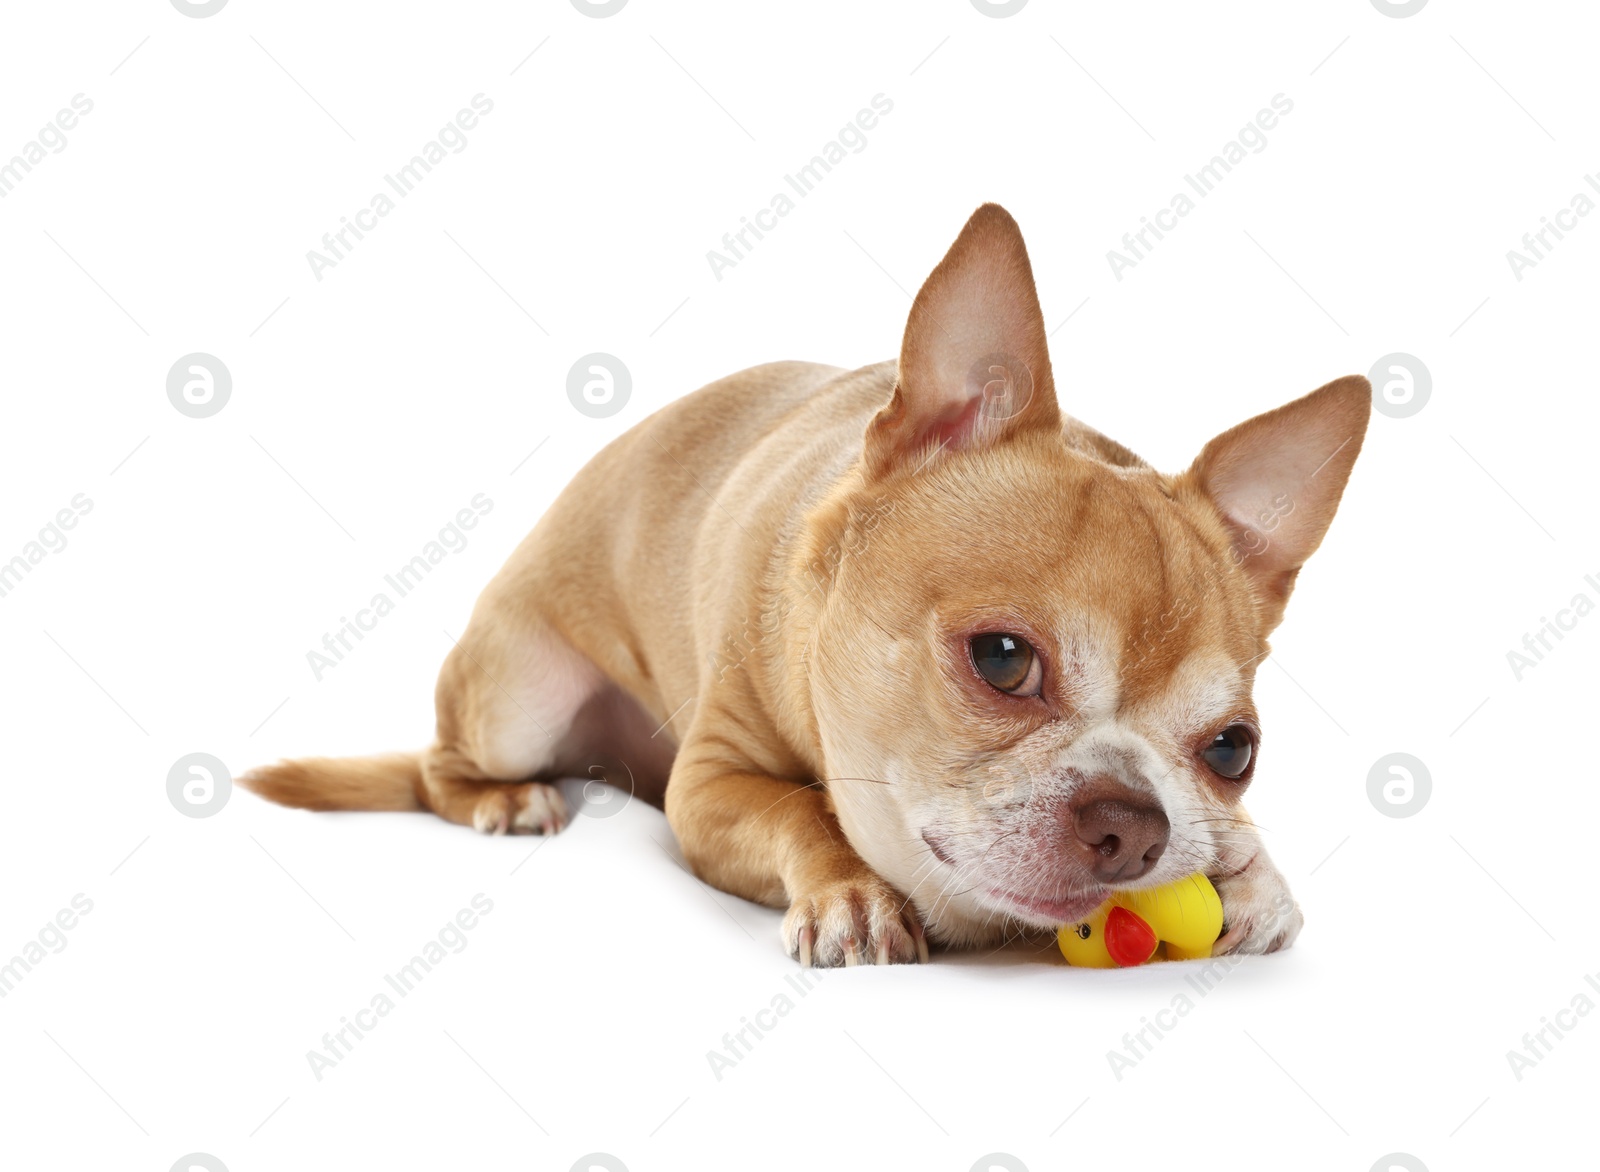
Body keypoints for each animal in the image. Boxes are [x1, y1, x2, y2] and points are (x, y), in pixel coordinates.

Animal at [243, 203, 1369, 973]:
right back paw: (506, 797)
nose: (1135, 821)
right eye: (1004, 659)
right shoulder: (706, 789)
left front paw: (1251, 874)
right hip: (521, 695)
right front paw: (851, 892)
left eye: (1232, 751)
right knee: (443, 768)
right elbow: (801, 811)